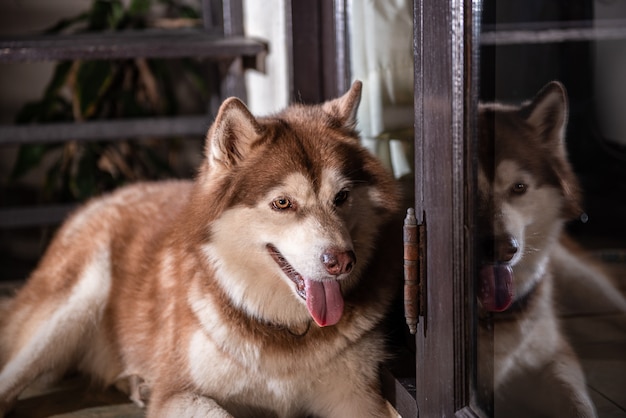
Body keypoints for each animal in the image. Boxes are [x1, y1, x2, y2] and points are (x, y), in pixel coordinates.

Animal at [0, 82, 400, 418]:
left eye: (341, 197)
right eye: (283, 203)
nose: (342, 262)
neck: (284, 330)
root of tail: (104, 196)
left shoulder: (359, 398)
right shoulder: (179, 392)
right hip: (75, 304)